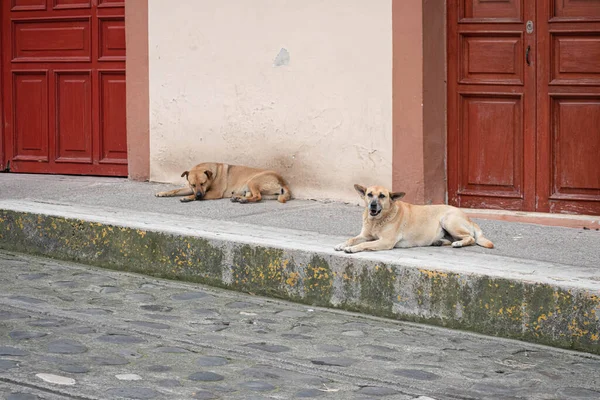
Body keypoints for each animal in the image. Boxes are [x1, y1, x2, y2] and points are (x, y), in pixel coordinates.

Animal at [156, 162, 292, 203]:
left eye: (203, 183)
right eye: (193, 184)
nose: (199, 195)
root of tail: (282, 181)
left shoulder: (214, 193)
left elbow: (193, 195)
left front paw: (188, 197)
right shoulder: (189, 188)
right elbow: (175, 190)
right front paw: (163, 193)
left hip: (253, 181)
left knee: (257, 197)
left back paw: (242, 200)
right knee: (253, 195)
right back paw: (238, 197)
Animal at [332, 184, 492, 253]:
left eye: (382, 196)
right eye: (369, 194)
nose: (373, 205)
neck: (377, 221)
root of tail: (469, 218)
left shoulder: (385, 241)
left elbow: (364, 244)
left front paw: (352, 248)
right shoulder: (365, 235)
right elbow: (352, 239)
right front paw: (342, 244)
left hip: (448, 220)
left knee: (470, 237)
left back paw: (458, 243)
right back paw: (439, 242)